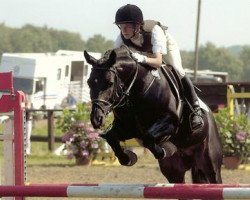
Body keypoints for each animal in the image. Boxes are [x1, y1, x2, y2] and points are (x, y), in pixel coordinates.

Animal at [84, 45, 223, 184]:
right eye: (89, 82)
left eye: (110, 83)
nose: (96, 119)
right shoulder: (128, 128)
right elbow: (111, 136)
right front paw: (128, 158)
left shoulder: (170, 123)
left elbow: (148, 137)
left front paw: (165, 150)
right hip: (174, 171)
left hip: (210, 164)